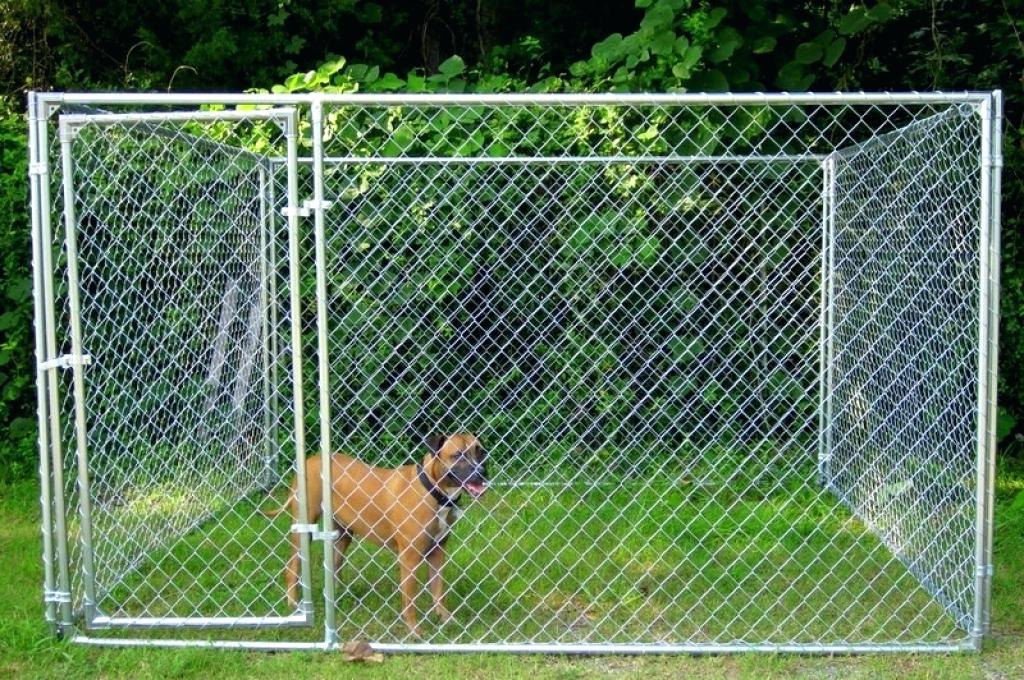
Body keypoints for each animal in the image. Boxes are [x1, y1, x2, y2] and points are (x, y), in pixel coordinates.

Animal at [264, 432, 487, 634]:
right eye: (457, 455)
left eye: (480, 451)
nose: (482, 471)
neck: (433, 490)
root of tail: (310, 460)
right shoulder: (410, 557)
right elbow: (409, 598)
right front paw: (414, 629)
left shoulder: (438, 551)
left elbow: (439, 591)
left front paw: (445, 618)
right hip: (304, 528)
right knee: (292, 567)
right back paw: (293, 605)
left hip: (343, 534)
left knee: (334, 565)